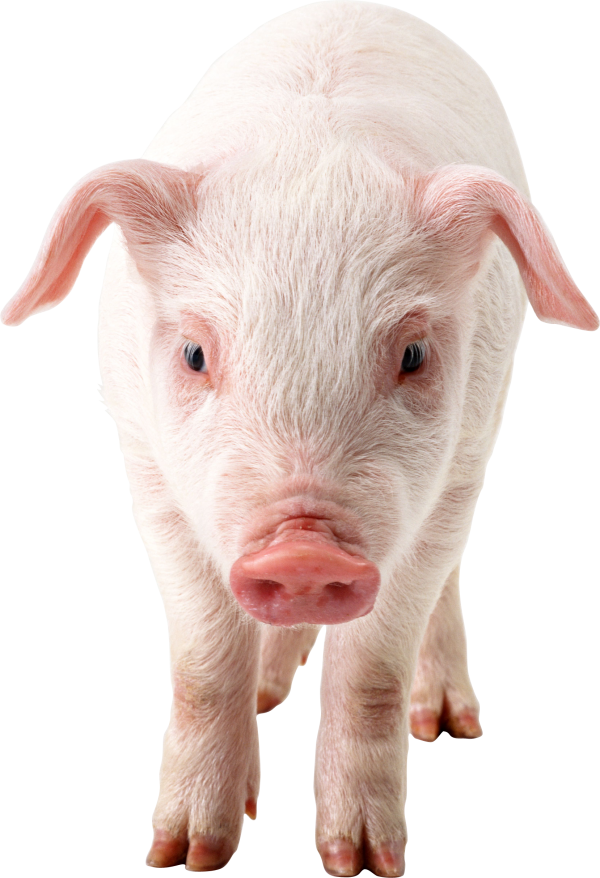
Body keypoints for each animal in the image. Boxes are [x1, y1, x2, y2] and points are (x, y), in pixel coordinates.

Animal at [2, 1, 597, 875]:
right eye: (194, 352)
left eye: (413, 355)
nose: (304, 551)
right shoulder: (147, 467)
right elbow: (202, 663)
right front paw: (187, 856)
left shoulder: (452, 471)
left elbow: (372, 670)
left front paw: (362, 863)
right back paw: (266, 696)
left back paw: (446, 724)